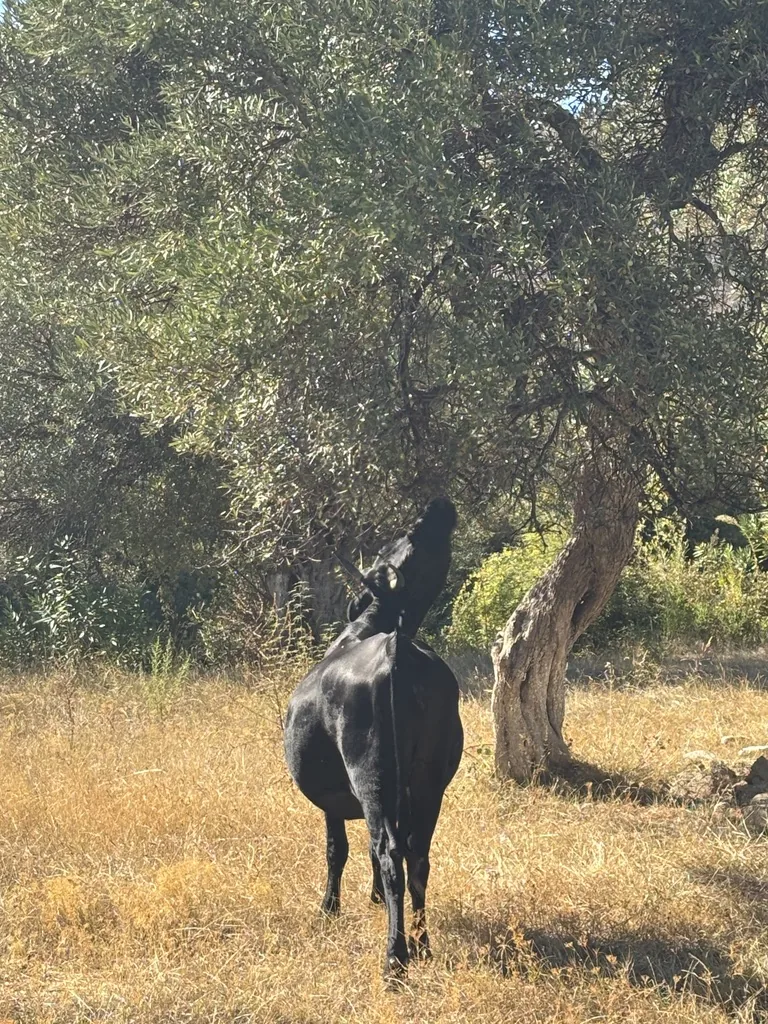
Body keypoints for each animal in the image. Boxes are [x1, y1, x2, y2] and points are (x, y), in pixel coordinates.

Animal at [283, 560, 463, 981]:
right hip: (427, 784)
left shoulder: (332, 800)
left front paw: (329, 908)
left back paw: (395, 959)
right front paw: (375, 897)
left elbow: (337, 849)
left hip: (370, 776)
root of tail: (396, 649)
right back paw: (422, 944)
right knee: (417, 855)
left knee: (389, 853)